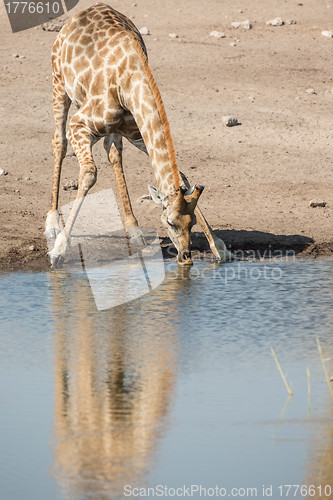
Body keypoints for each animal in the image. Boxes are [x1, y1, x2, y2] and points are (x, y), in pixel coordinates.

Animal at [44, 1, 231, 268]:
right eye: (169, 222)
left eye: (192, 222)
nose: (186, 258)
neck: (128, 83)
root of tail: (78, 15)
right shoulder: (79, 124)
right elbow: (89, 174)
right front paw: (59, 251)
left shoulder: (138, 132)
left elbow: (183, 177)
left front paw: (220, 247)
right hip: (59, 84)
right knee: (59, 143)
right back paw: (52, 224)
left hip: (114, 130)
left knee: (113, 154)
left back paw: (134, 231)